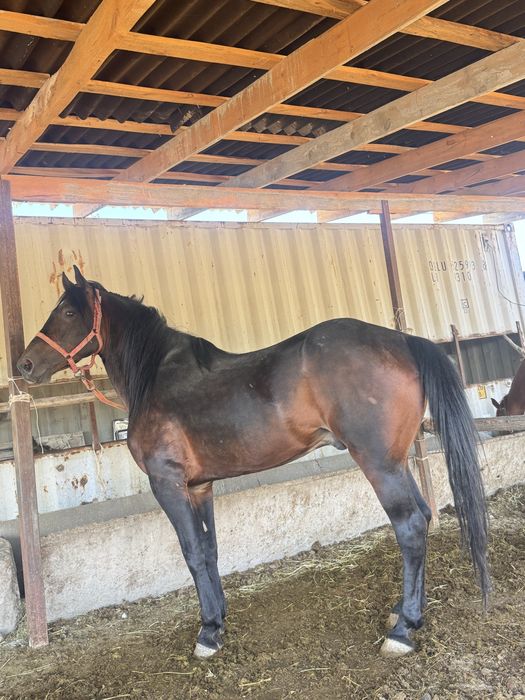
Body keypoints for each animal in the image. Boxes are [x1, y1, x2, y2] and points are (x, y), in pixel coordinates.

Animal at [17, 266, 490, 659]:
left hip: (379, 463)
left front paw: (207, 633)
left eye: (68, 311)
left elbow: (192, 552)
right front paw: (219, 618)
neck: (156, 377)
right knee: (423, 516)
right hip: (397, 460)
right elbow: (209, 550)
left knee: (409, 526)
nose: (24, 364)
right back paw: (404, 612)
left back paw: (403, 631)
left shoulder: (167, 483)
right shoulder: (198, 487)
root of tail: (401, 341)